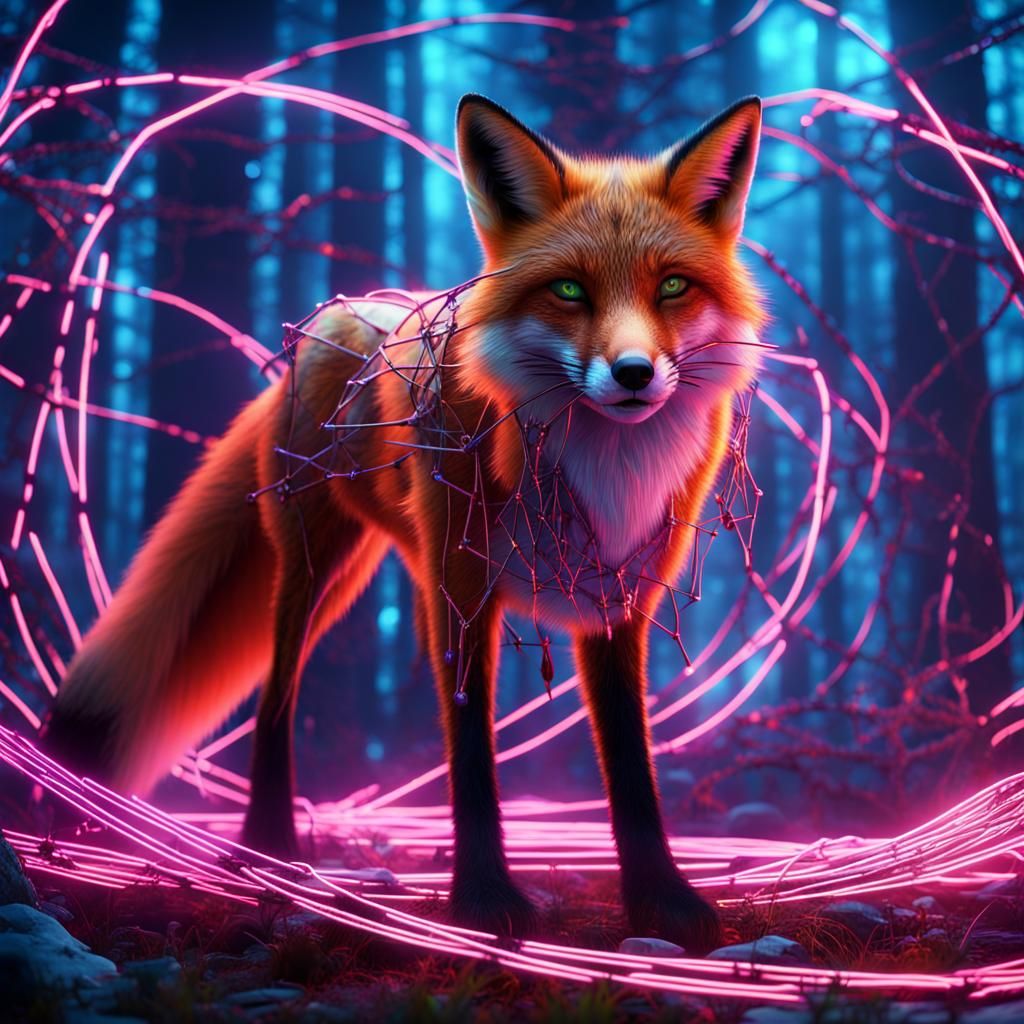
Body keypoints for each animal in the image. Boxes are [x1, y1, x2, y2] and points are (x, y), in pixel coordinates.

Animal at [40, 93, 765, 952]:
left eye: (674, 286)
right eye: (569, 292)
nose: (632, 374)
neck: (600, 470)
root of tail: (346, 308)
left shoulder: (618, 598)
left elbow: (630, 761)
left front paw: (662, 901)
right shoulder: (465, 589)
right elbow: (472, 752)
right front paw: (484, 901)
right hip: (314, 571)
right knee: (276, 699)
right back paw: (268, 852)